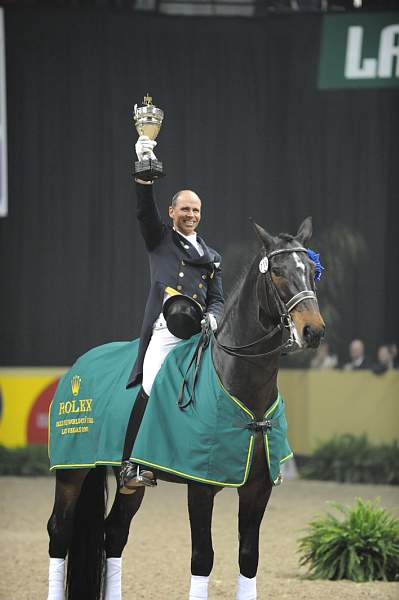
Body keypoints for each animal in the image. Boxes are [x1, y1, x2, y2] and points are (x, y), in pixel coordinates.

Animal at [47, 216, 326, 600]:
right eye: (278, 272)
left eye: (312, 272)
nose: (313, 331)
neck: (239, 384)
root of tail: (79, 366)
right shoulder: (200, 485)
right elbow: (202, 558)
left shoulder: (258, 488)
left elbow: (248, 557)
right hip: (71, 470)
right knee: (60, 530)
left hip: (128, 483)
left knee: (114, 533)